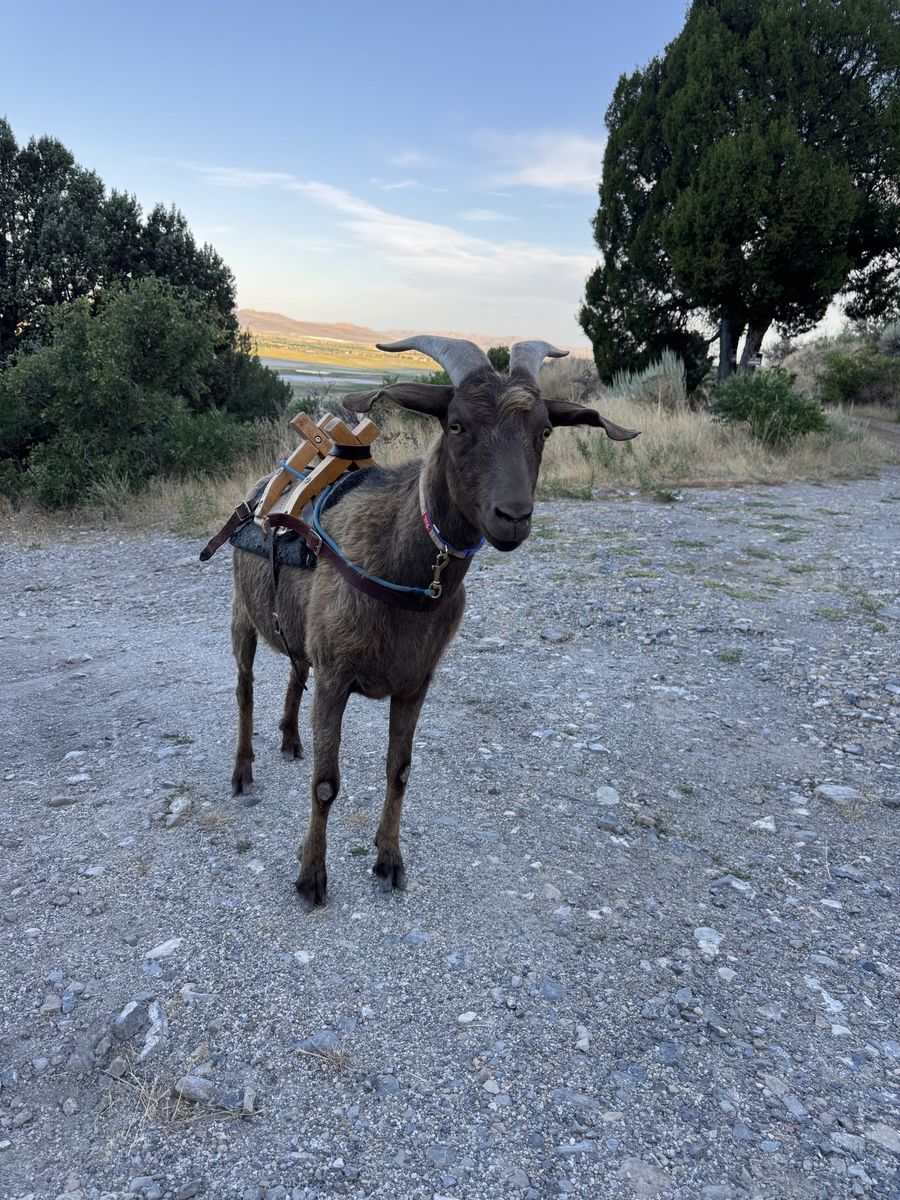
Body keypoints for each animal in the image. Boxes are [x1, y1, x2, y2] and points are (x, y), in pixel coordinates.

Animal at [229, 335, 637, 908]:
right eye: (456, 424)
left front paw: (388, 861)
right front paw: (311, 877)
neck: (403, 567)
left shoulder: (414, 682)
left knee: (293, 669)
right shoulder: (336, 677)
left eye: (544, 431)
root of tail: (268, 481)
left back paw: (289, 739)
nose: (513, 517)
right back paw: (243, 771)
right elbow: (326, 784)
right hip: (242, 614)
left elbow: (399, 771)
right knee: (244, 689)